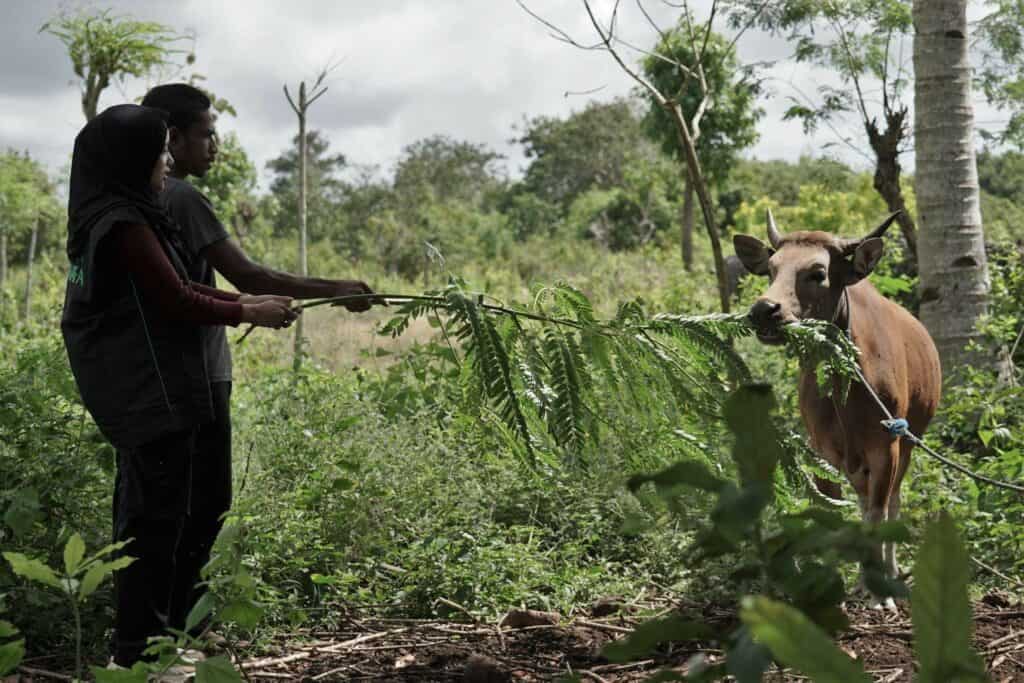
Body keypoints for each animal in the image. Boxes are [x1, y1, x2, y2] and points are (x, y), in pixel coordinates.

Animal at [733, 209, 937, 610]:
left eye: (818, 272)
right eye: (770, 270)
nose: (764, 310)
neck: (846, 393)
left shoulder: (887, 446)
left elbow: (878, 513)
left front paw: (879, 591)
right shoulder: (822, 451)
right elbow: (835, 514)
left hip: (909, 443)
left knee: (891, 503)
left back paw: (888, 573)